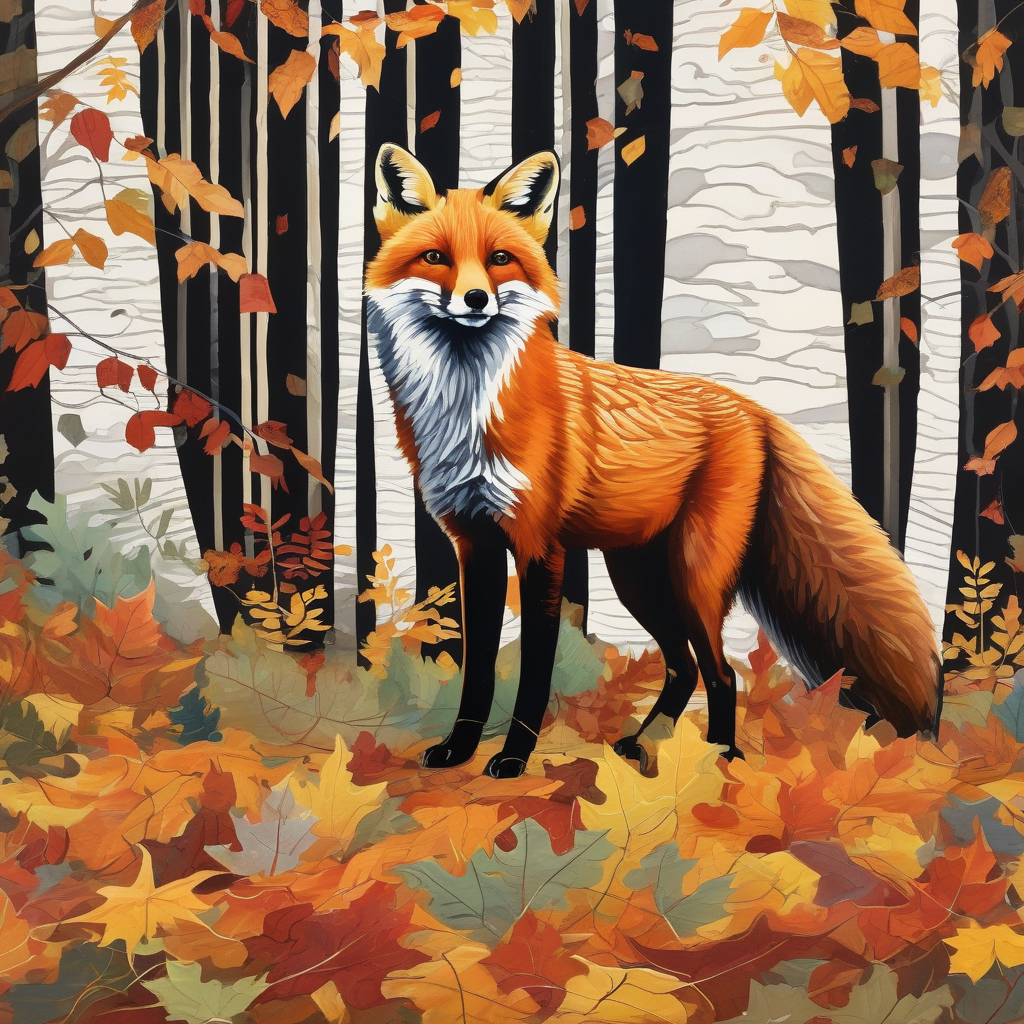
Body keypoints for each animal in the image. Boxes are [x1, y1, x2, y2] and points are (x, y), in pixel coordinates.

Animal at [364, 143, 943, 780]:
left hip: (692, 576)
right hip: (637, 578)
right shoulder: (476, 546)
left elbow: (534, 675)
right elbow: (479, 673)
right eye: (435, 257)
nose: (474, 300)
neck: (467, 412)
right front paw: (459, 750)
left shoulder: (541, 548)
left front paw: (514, 757)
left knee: (721, 672)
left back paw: (721, 761)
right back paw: (645, 746)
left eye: (498, 259)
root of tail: (754, 410)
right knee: (684, 666)